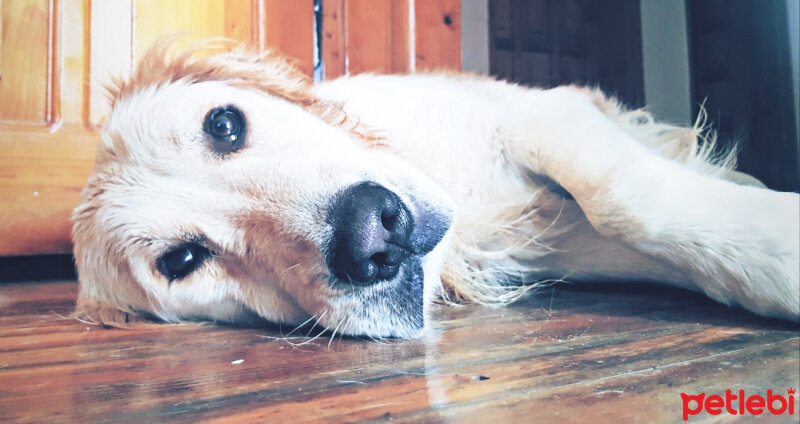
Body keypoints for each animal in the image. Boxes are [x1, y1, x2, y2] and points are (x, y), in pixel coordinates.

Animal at [70, 40, 800, 338]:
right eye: (181, 260)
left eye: (223, 124)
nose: (374, 233)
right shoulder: (561, 238)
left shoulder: (542, 111)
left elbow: (625, 198)